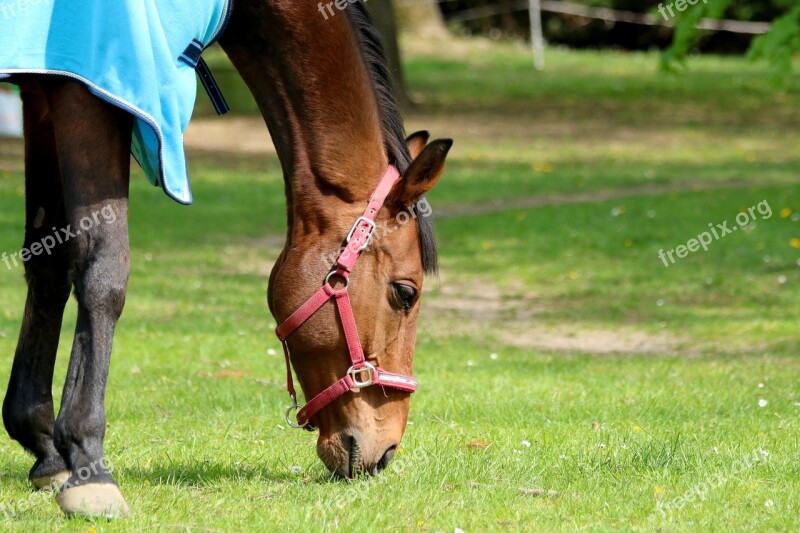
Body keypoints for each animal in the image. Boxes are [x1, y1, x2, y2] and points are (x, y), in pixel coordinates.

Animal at [0, 0, 450, 516]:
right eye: (405, 293)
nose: (387, 451)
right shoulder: (87, 90)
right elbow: (104, 271)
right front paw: (87, 463)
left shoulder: (42, 91)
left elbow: (47, 261)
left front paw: (45, 447)